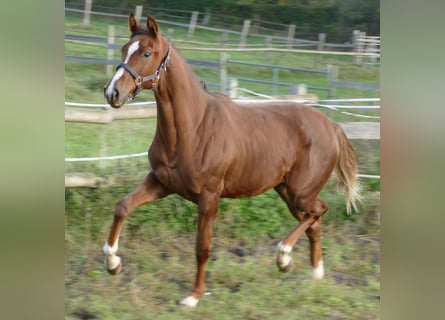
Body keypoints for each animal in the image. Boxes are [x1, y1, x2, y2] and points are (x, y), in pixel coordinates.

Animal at [102, 14, 360, 308]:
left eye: (146, 53)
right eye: (124, 49)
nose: (112, 93)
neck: (193, 128)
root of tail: (331, 125)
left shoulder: (209, 197)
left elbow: (202, 247)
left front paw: (194, 296)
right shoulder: (160, 182)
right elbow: (122, 207)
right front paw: (113, 264)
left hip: (301, 193)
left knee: (319, 211)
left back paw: (284, 256)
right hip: (288, 192)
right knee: (313, 224)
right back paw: (312, 274)